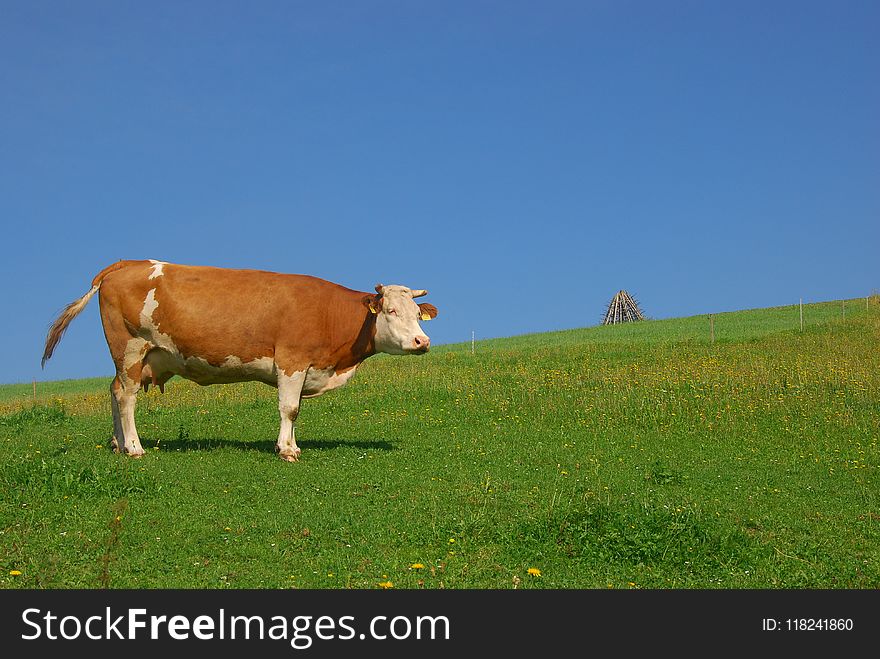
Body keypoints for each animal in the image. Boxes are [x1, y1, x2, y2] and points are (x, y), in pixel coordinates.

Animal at [42, 260, 440, 462]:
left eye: (417, 314)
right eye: (390, 310)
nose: (422, 341)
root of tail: (127, 264)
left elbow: (294, 410)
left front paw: (292, 445)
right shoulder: (292, 360)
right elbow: (289, 408)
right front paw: (286, 451)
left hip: (132, 358)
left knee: (113, 392)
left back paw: (117, 443)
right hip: (130, 349)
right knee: (126, 397)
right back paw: (135, 448)